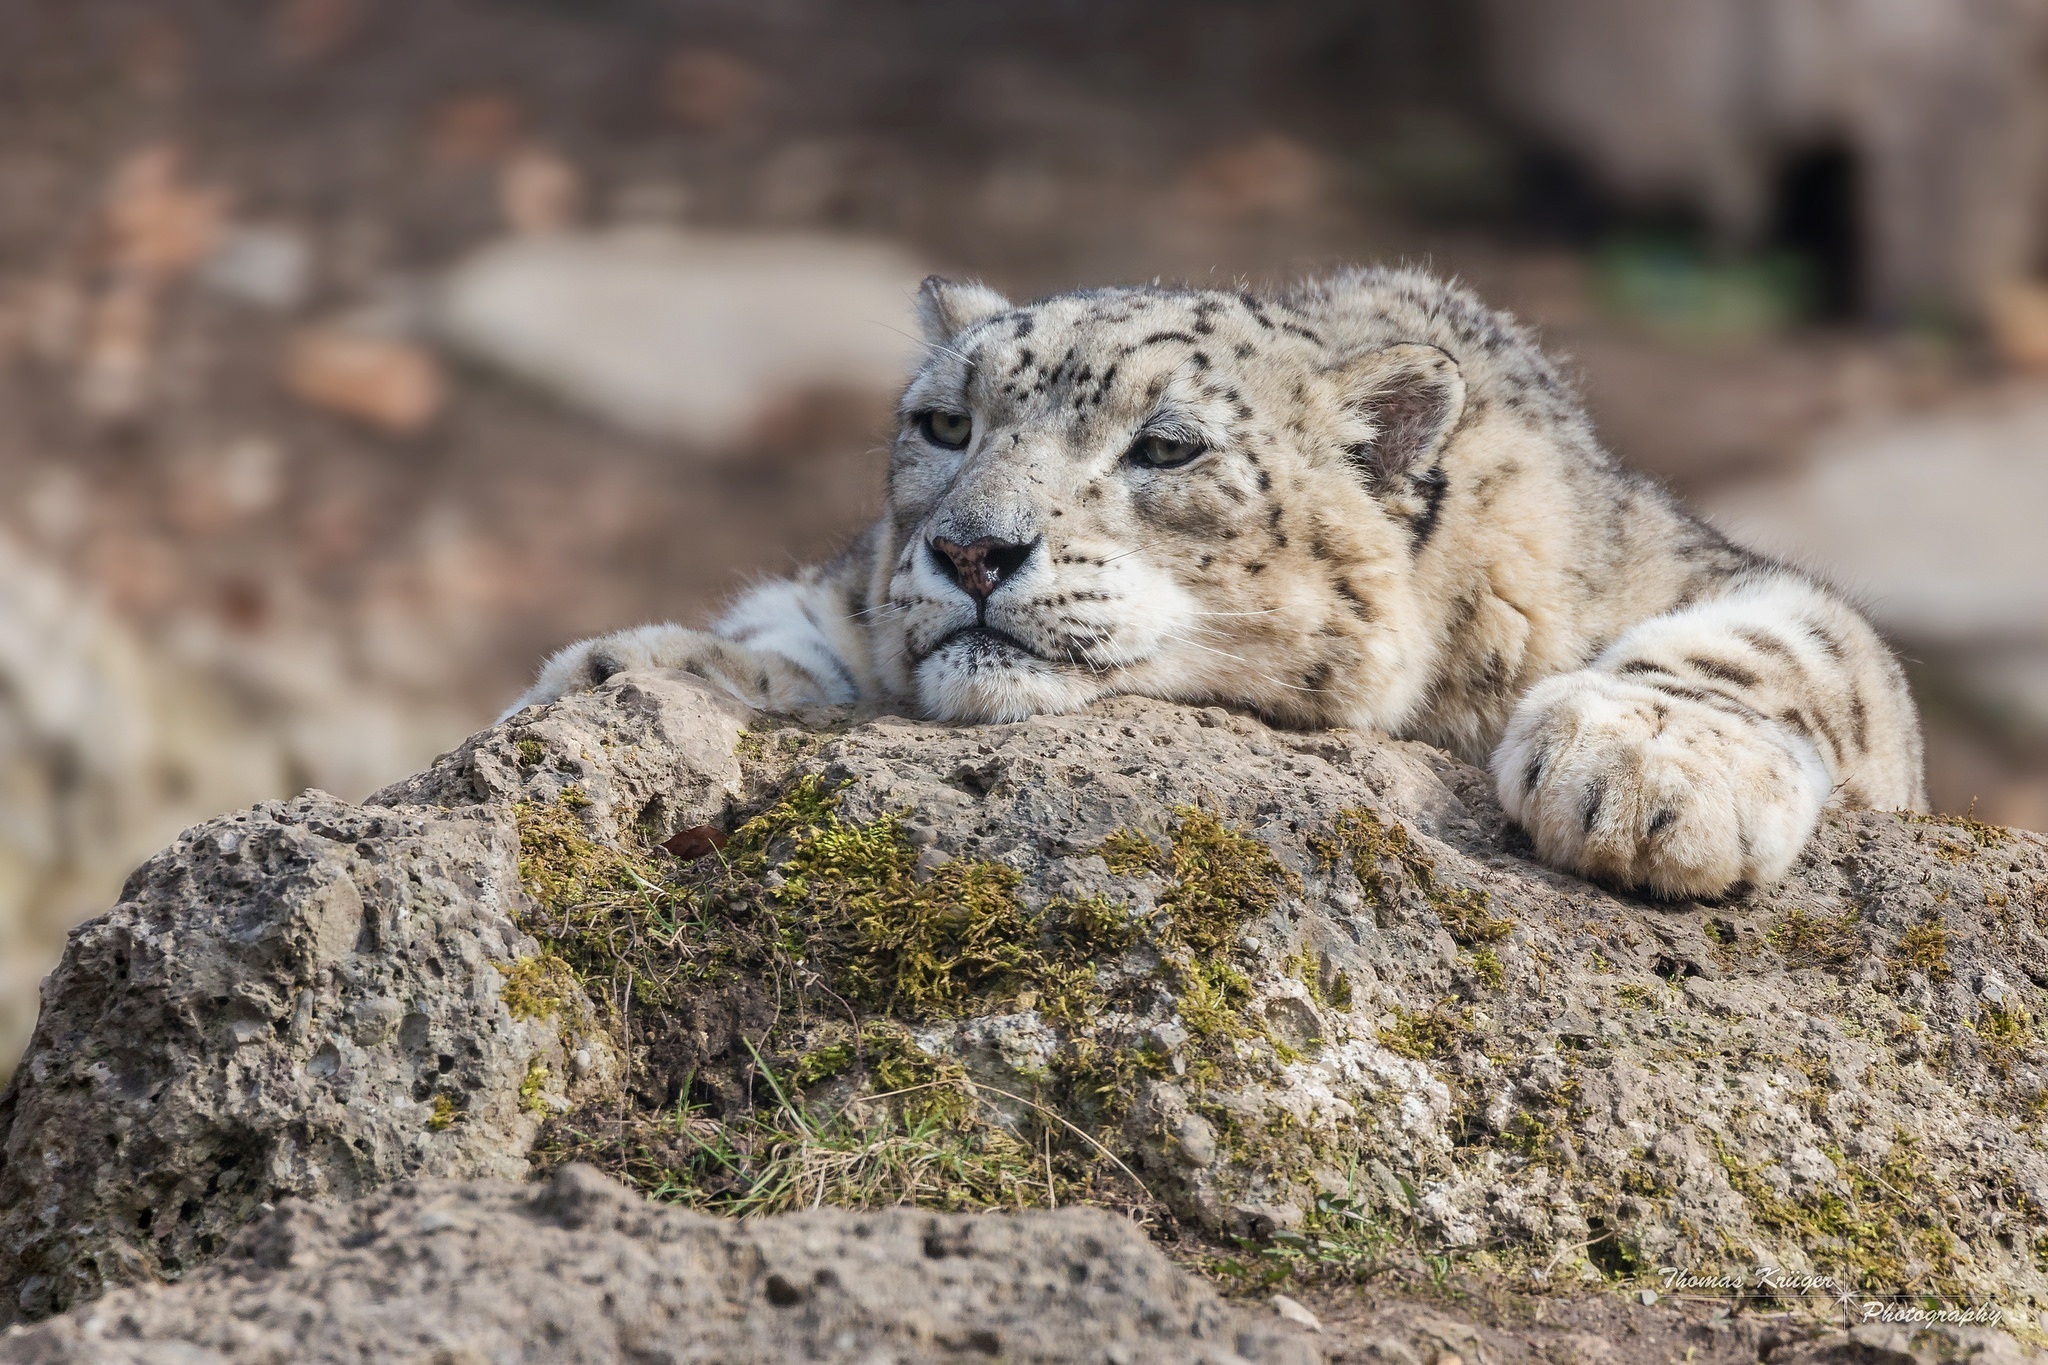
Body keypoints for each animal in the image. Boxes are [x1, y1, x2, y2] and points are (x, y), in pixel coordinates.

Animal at [507, 270, 1916, 900]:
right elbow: (798, 617)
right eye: (944, 424)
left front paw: (1645, 774)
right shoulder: (849, 583)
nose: (969, 552)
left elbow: (1791, 643)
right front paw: (632, 669)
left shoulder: (1704, 578)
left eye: (1166, 448)